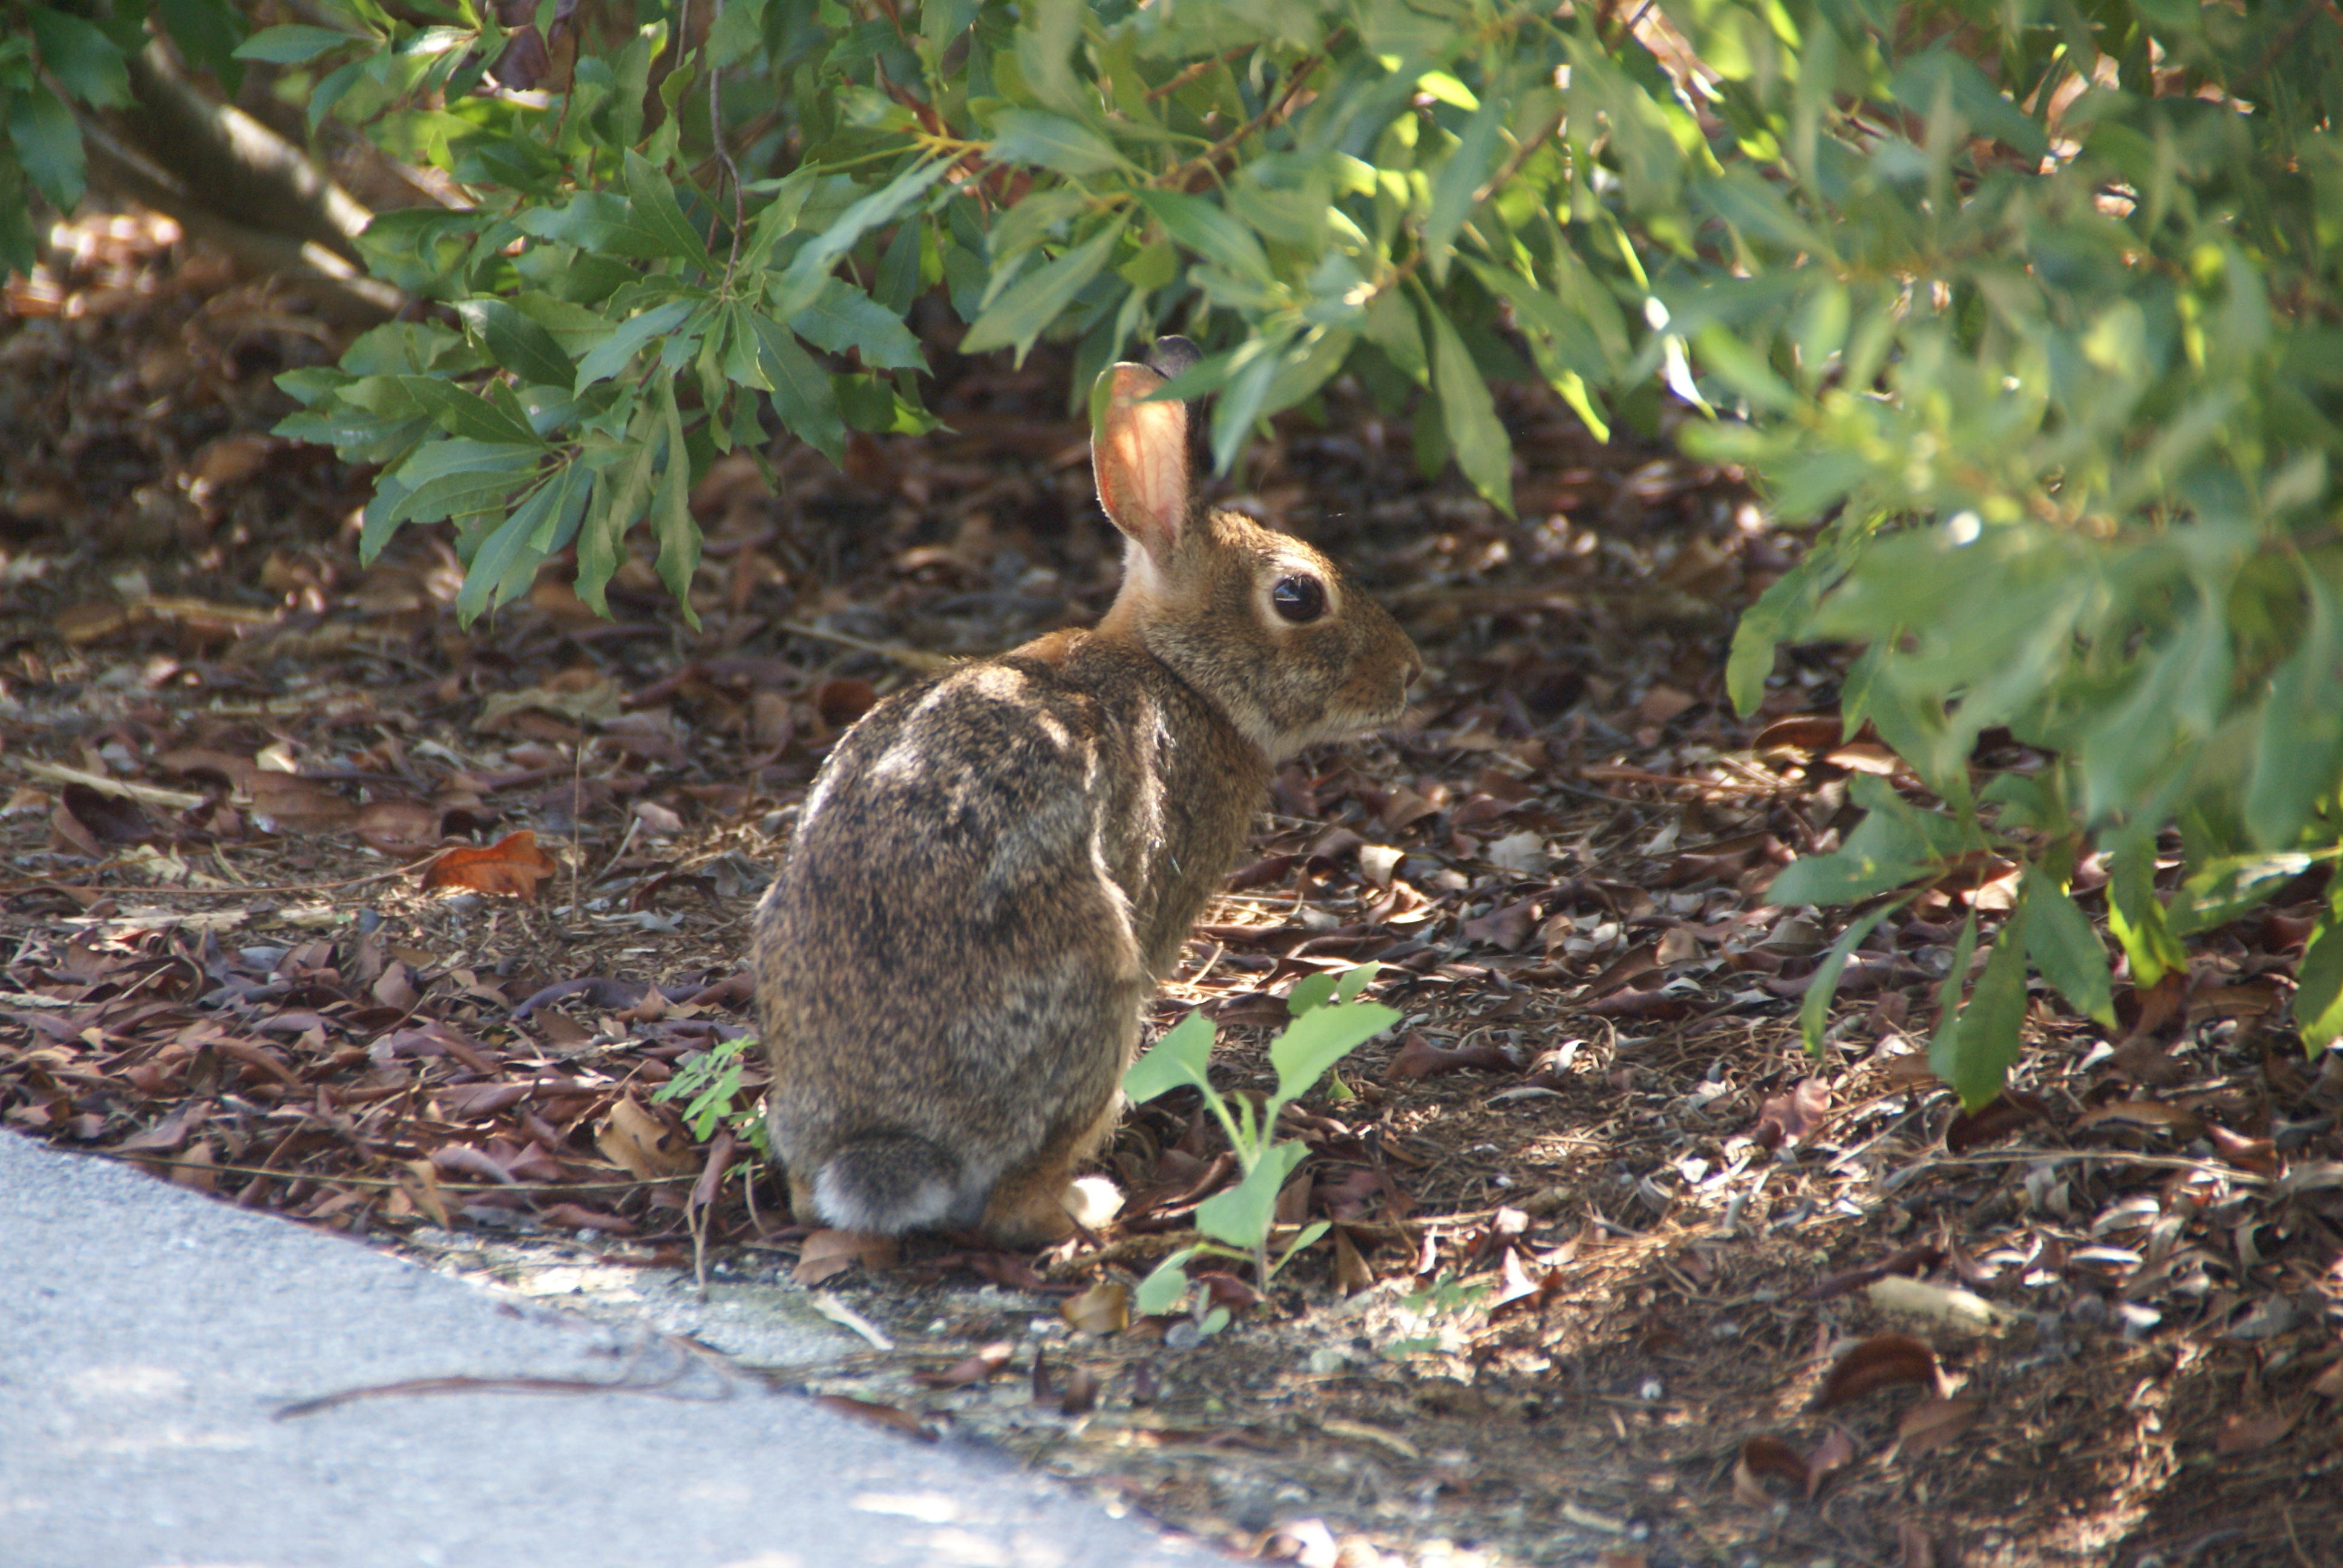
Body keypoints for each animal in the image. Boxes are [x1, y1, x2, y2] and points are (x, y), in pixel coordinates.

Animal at [750, 337, 1415, 1237]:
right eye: (1297, 597)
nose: (1409, 674)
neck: (1176, 670)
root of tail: (885, 1143)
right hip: (1096, 979)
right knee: (1014, 1202)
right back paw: (1089, 1200)